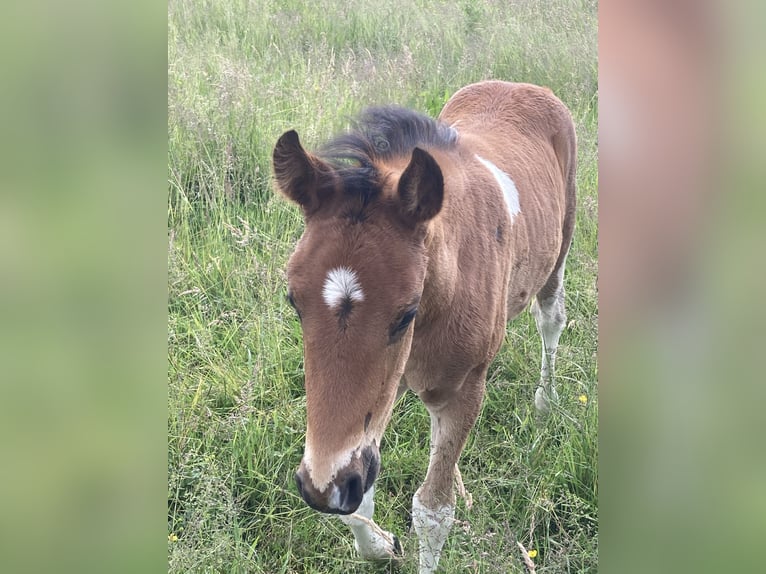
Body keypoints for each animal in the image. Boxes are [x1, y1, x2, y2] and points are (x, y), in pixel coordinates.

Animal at [272, 80, 577, 573]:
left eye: (405, 313)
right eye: (293, 301)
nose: (321, 489)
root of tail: (520, 85)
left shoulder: (463, 392)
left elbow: (433, 512)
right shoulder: (384, 393)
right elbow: (364, 492)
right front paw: (382, 545)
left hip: (560, 247)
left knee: (551, 318)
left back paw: (545, 402)